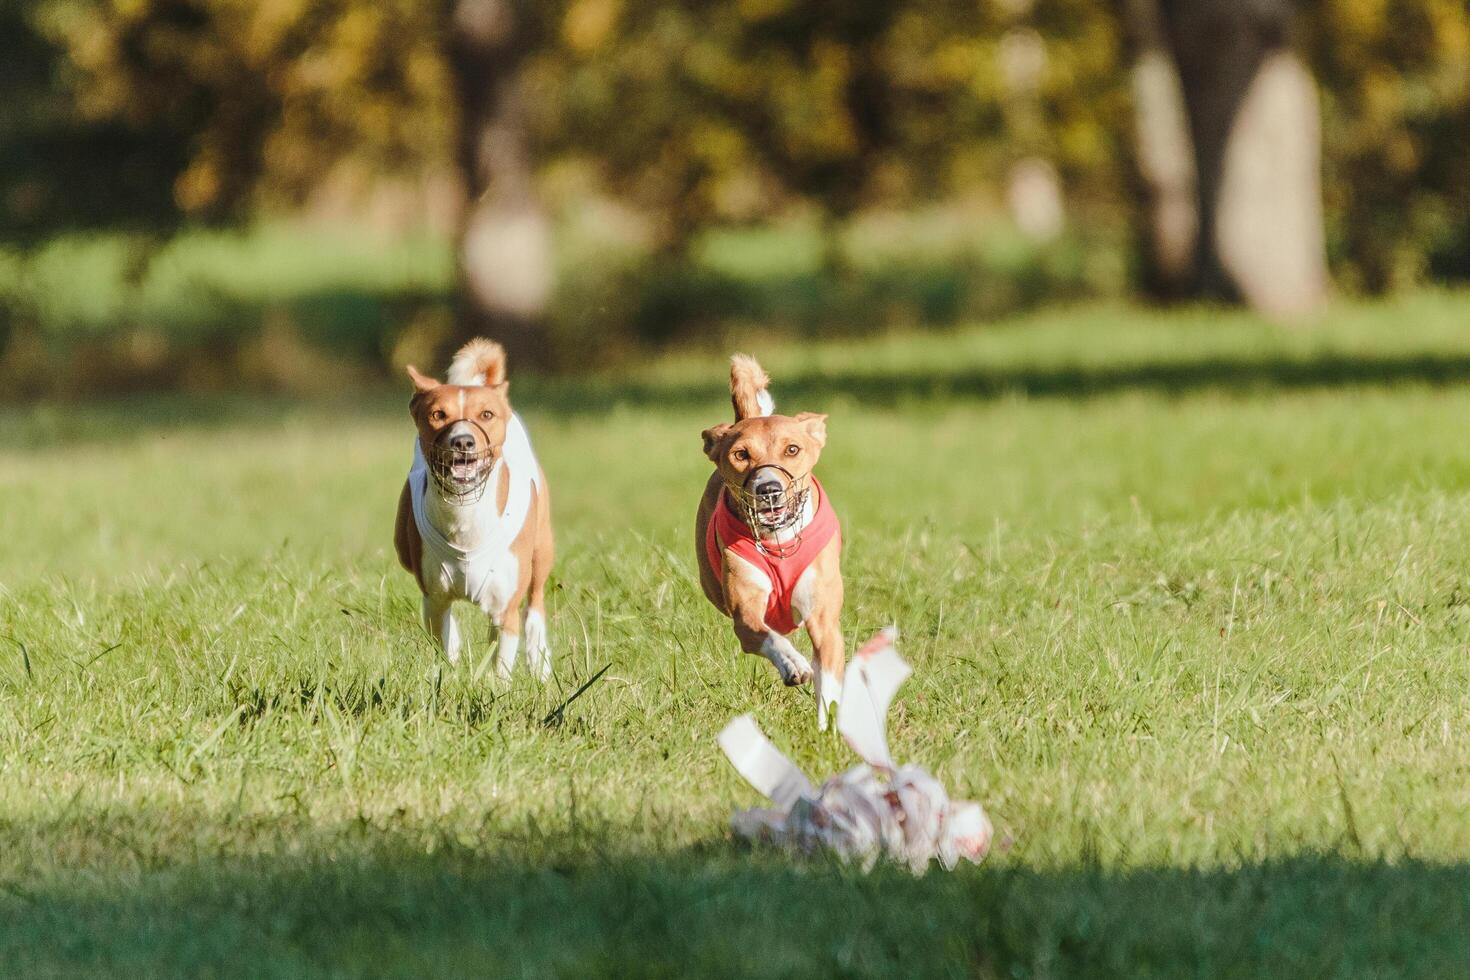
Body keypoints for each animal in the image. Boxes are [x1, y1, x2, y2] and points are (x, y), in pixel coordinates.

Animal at [393, 340, 552, 678]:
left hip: (542, 548)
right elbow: (444, 639)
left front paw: (498, 686)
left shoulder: (506, 608)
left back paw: (539, 662)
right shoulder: (436, 597)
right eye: (438, 414)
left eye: (486, 414)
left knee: (535, 605)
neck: (464, 516)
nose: (463, 441)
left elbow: (502, 664)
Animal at [693, 352, 846, 728]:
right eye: (741, 454)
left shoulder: (823, 617)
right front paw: (794, 663)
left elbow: (828, 683)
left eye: (792, 449)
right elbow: (766, 635)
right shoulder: (745, 614)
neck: (779, 542)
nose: (768, 489)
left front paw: (826, 730)